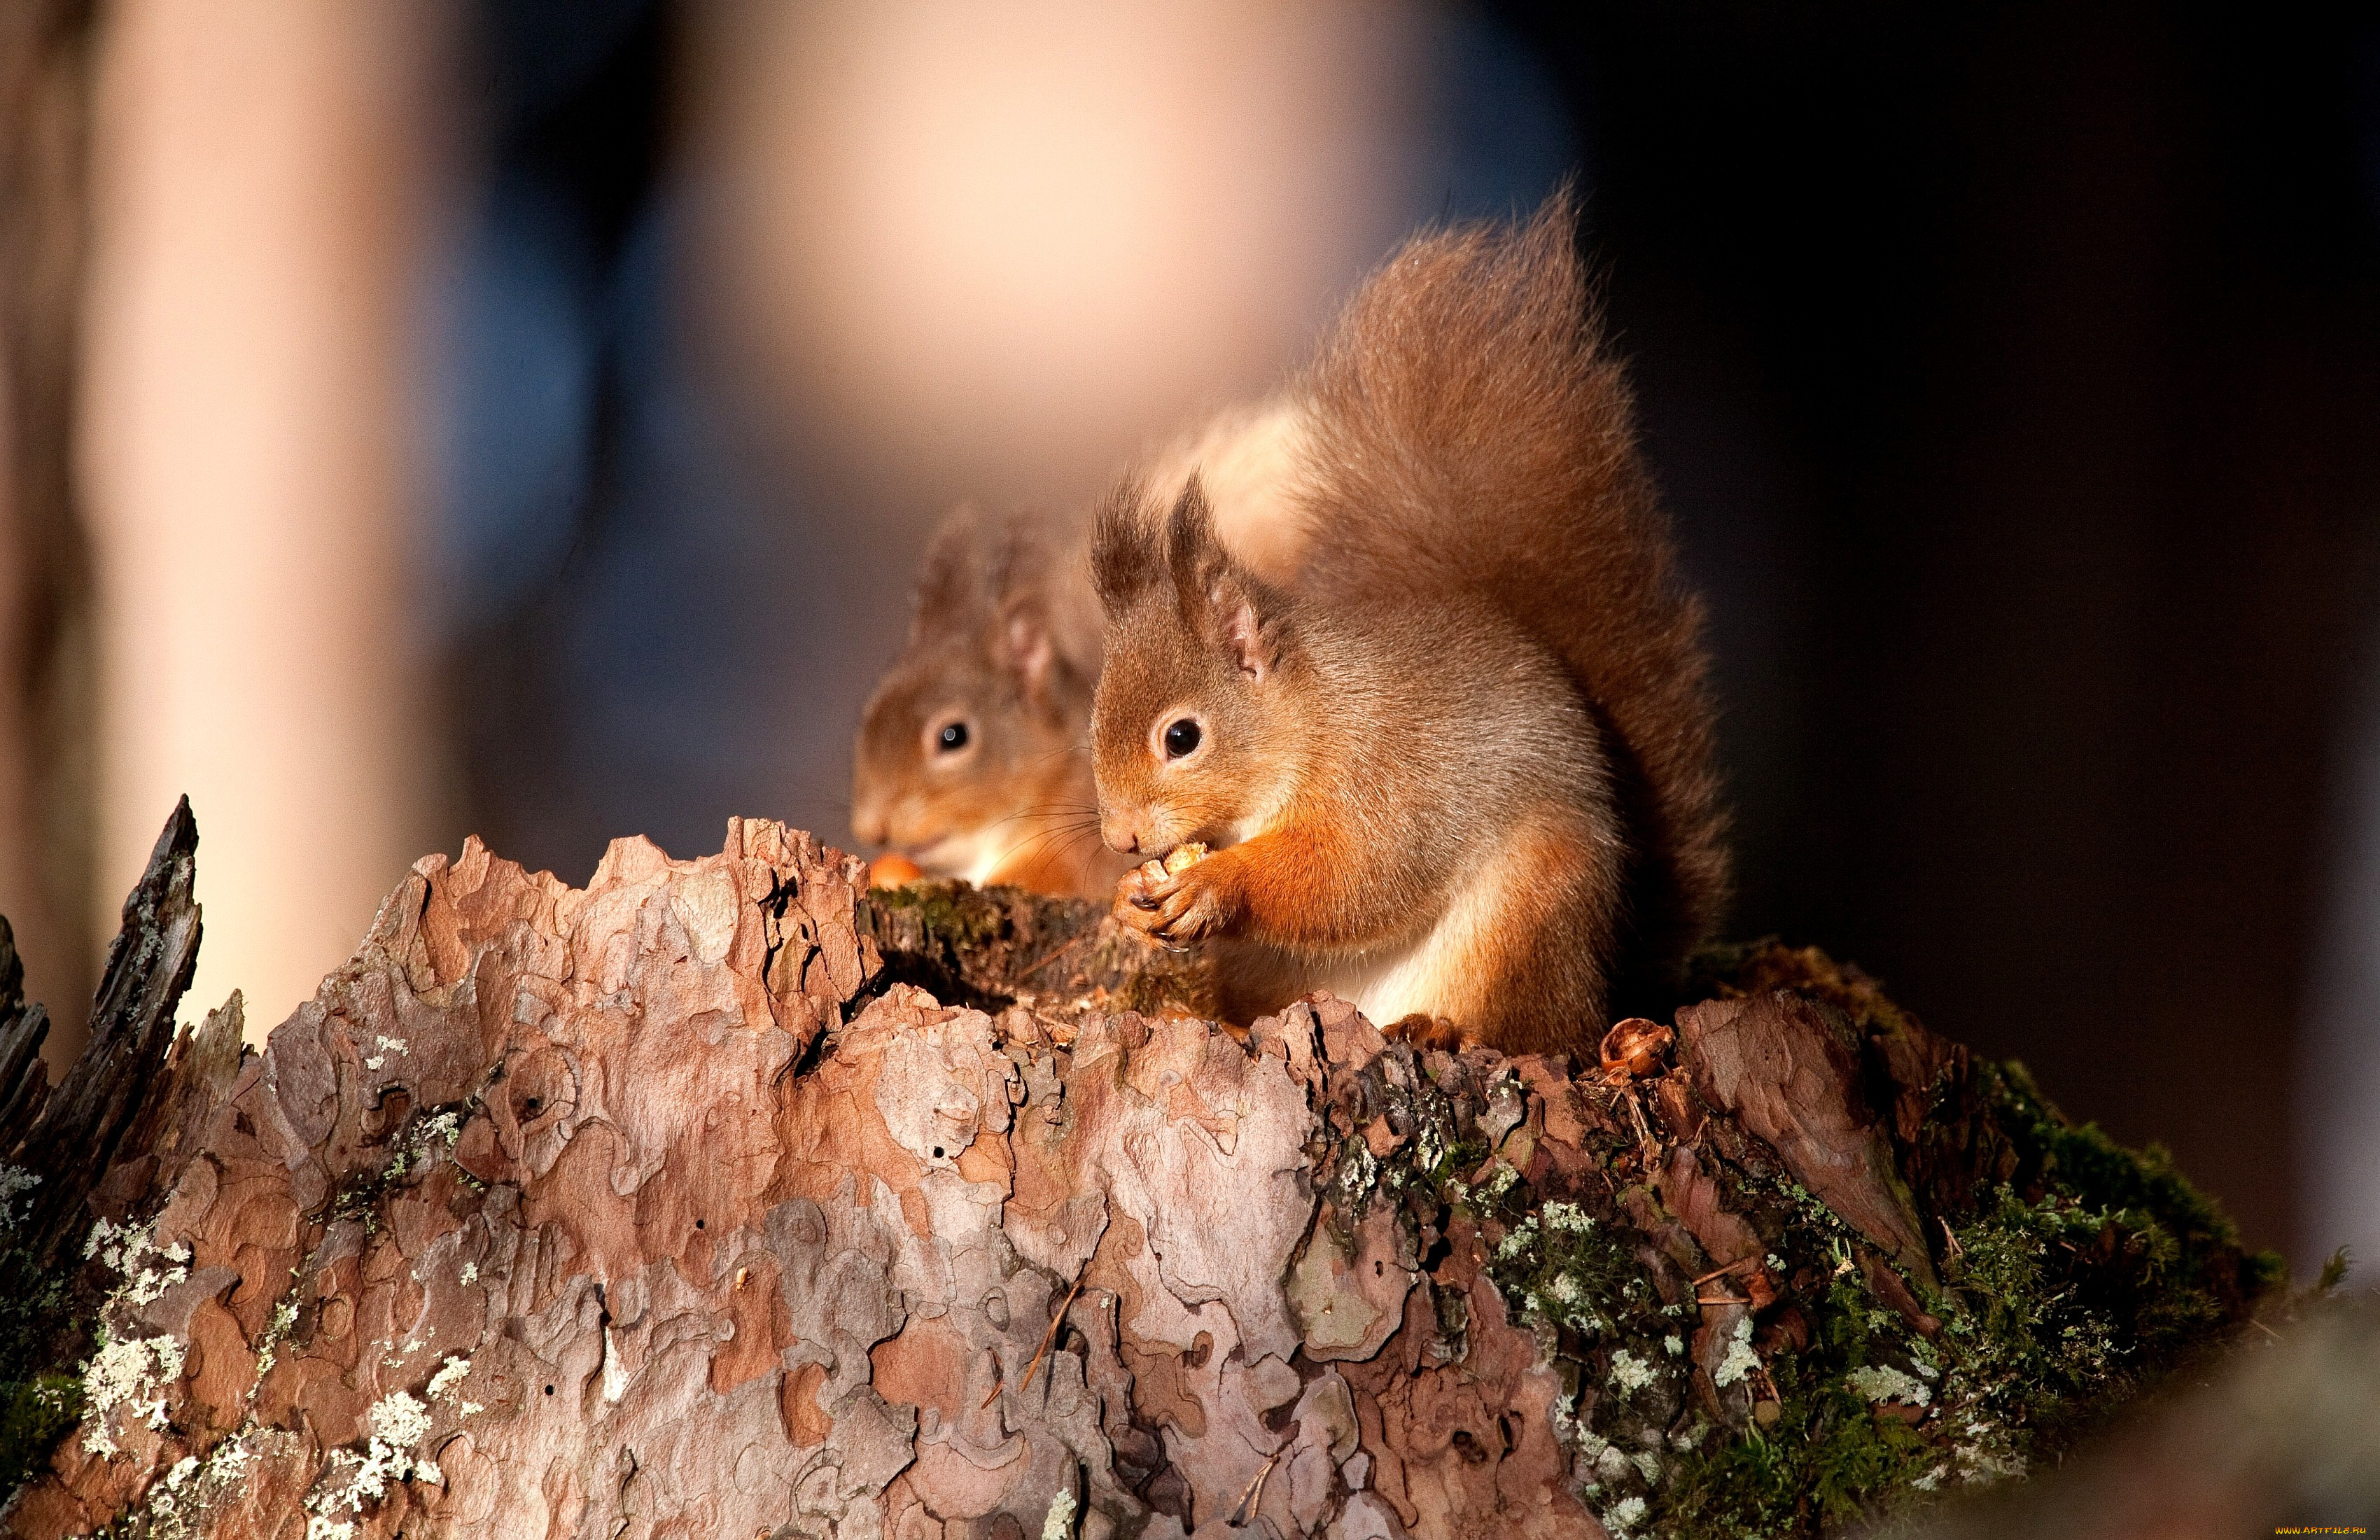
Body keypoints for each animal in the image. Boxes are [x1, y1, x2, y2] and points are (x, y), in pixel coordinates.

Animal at [1095, 198, 1732, 1051]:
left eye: (1182, 737)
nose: (1121, 840)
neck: (1314, 716)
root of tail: (1605, 978)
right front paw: (1130, 897)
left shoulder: (1388, 777)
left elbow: (1353, 875)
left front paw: (1215, 885)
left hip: (1531, 912)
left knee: (1531, 1031)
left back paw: (1443, 1030)